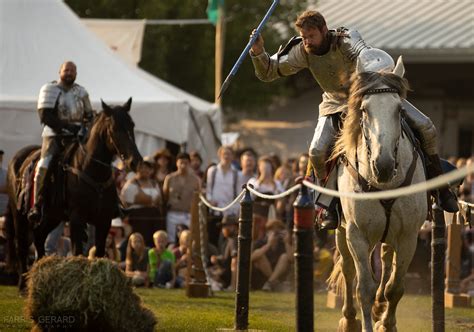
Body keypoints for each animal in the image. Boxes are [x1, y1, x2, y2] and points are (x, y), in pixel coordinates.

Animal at [5, 97, 142, 290]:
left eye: (132, 125)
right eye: (115, 128)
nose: (135, 161)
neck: (91, 170)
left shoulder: (104, 221)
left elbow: (99, 252)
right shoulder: (77, 219)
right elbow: (78, 252)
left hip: (51, 217)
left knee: (39, 237)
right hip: (20, 216)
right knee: (22, 245)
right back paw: (23, 286)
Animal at [330, 57, 430, 332]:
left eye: (399, 110)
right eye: (364, 110)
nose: (382, 165)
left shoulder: (408, 236)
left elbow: (395, 288)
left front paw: (386, 323)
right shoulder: (357, 234)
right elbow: (363, 287)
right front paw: (364, 322)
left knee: (386, 263)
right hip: (342, 231)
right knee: (348, 269)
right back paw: (349, 319)